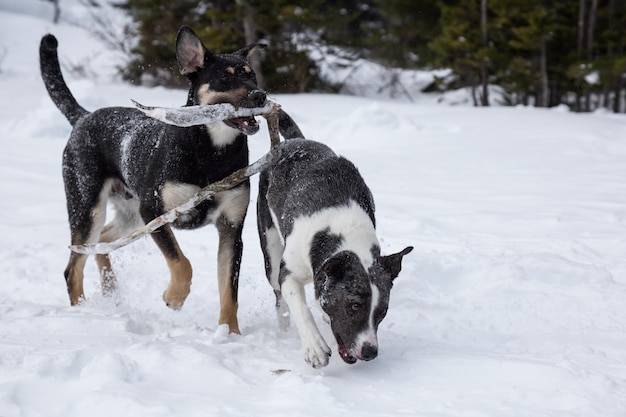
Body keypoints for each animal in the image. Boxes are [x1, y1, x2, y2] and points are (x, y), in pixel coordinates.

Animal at [39, 26, 300, 334]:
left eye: (252, 75)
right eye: (225, 77)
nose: (260, 95)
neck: (211, 151)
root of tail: (84, 116)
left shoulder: (230, 229)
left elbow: (229, 290)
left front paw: (229, 333)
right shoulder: (155, 211)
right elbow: (182, 263)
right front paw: (174, 297)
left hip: (131, 214)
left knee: (102, 243)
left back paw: (110, 291)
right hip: (89, 207)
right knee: (73, 268)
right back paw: (83, 314)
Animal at [256, 138, 412, 366]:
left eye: (382, 311)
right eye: (354, 306)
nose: (370, 352)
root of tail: (291, 141)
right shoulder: (289, 272)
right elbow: (300, 307)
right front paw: (315, 347)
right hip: (270, 246)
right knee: (278, 293)